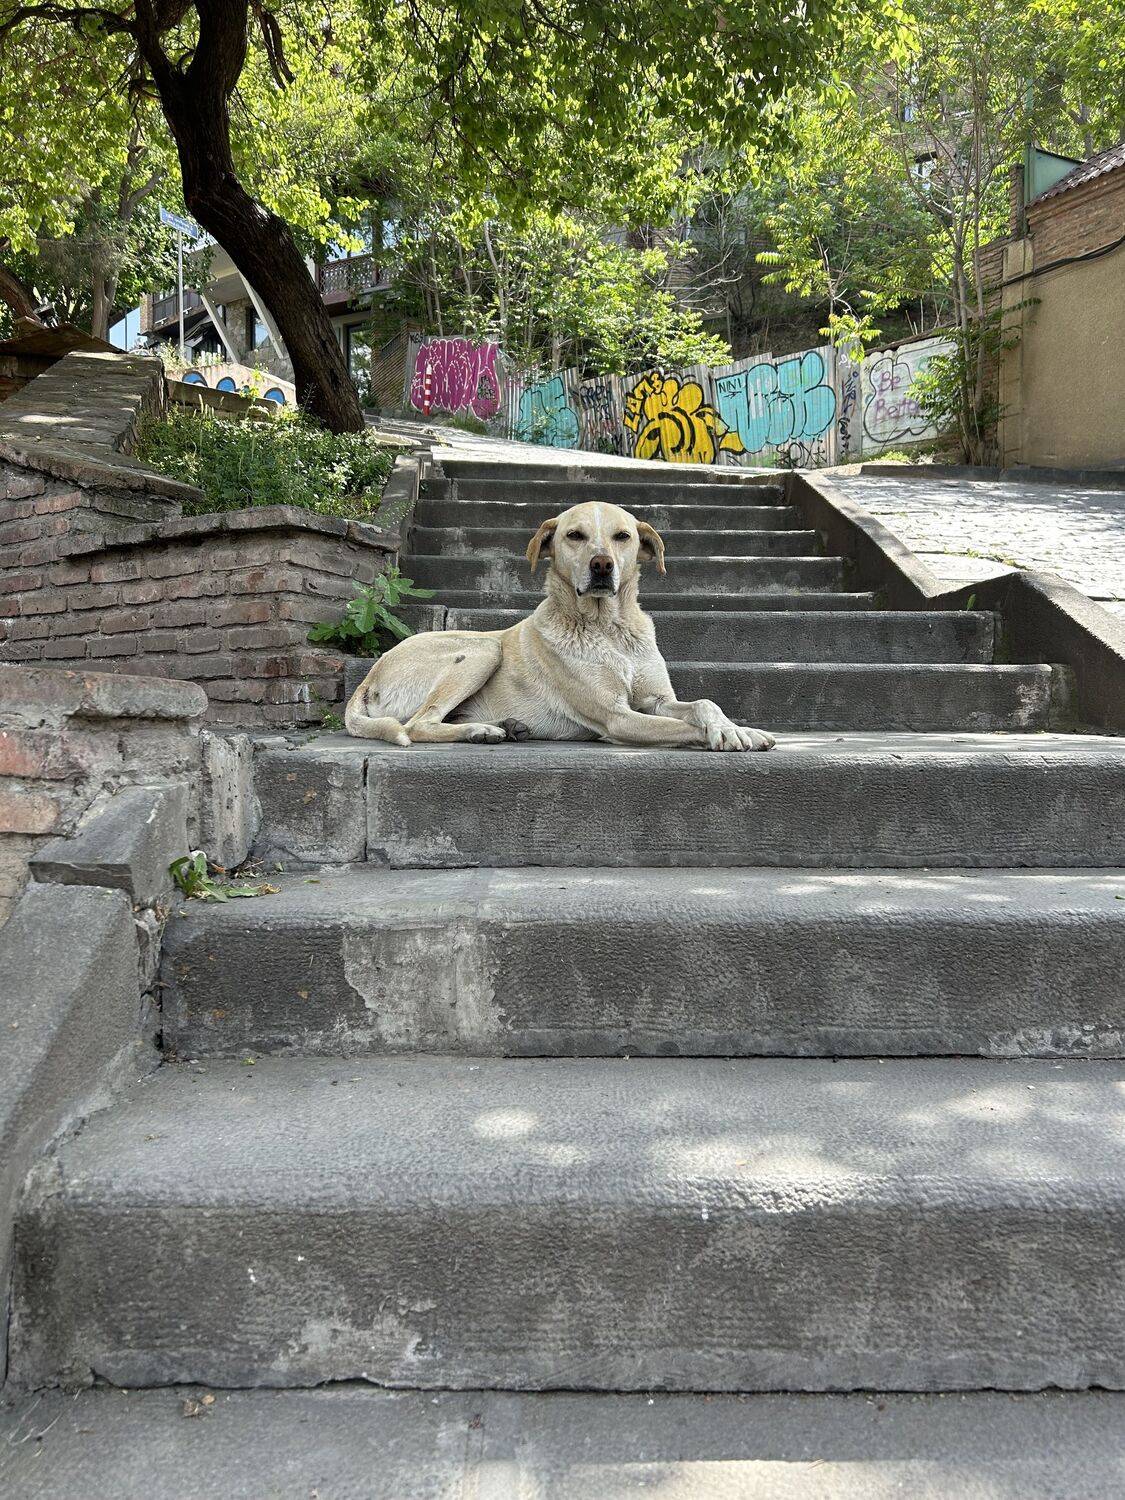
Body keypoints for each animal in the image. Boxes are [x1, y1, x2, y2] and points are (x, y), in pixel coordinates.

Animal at [344, 500, 776, 752]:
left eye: (623, 536)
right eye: (574, 536)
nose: (602, 565)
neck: (608, 629)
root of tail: (368, 678)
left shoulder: (656, 700)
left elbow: (704, 704)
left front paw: (733, 726)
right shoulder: (618, 717)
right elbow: (683, 726)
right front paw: (739, 734)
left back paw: (500, 727)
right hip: (484, 649)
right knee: (418, 725)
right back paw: (481, 732)